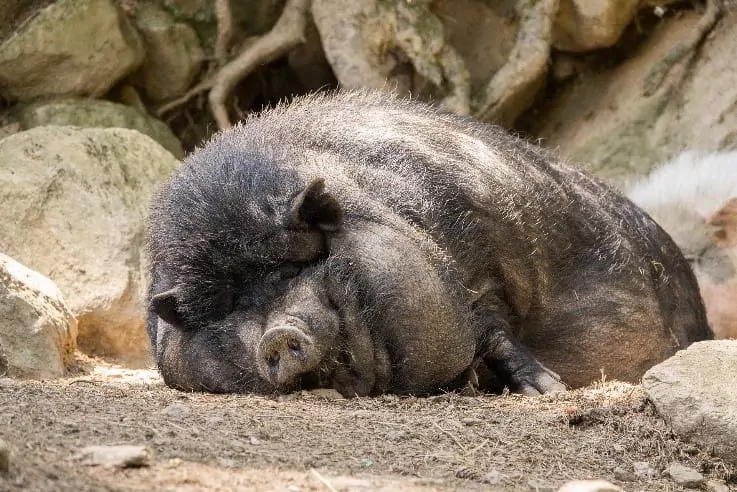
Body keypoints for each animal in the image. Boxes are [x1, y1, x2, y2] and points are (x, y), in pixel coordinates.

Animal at [145, 89, 712, 396]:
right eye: (227, 313)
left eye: (288, 270)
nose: (276, 336)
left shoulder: (478, 259)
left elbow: (495, 330)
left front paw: (547, 390)